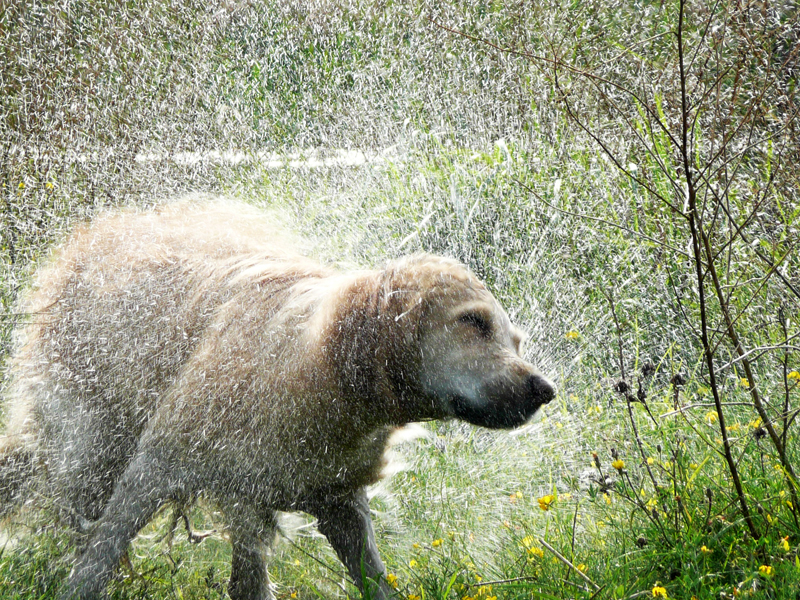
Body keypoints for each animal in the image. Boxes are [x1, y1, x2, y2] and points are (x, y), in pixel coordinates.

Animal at [0, 199, 552, 596]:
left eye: (517, 340)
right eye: (473, 321)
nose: (543, 390)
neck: (319, 368)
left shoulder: (332, 498)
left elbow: (365, 575)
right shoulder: (160, 465)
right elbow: (99, 557)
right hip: (91, 439)